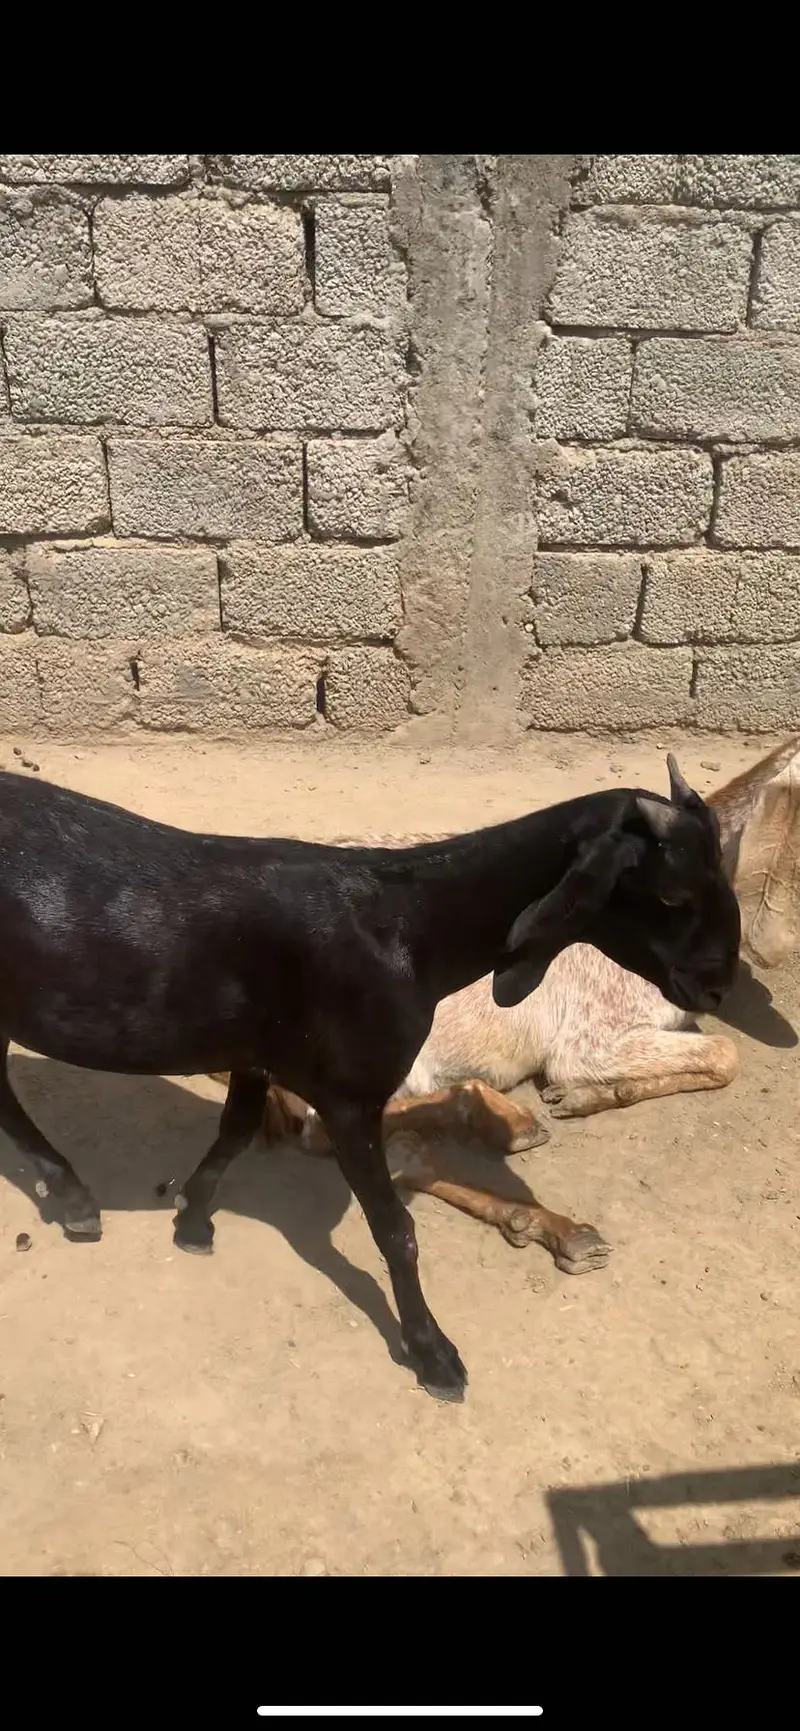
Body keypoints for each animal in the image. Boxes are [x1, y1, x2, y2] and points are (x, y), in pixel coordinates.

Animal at [0, 759, 738, 1400]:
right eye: (671, 893)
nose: (720, 983)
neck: (406, 926)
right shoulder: (349, 1096)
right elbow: (395, 1229)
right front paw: (434, 1354)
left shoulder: (260, 1053)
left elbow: (235, 1131)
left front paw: (193, 1219)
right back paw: (72, 1196)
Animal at [247, 739, 797, 1266]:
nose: (720, 985)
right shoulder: (590, 1039)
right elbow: (726, 1053)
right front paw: (578, 1094)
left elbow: (715, 1056)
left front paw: (591, 1097)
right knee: (333, 1131)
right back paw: (507, 1124)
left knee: (405, 1154)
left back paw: (555, 1225)